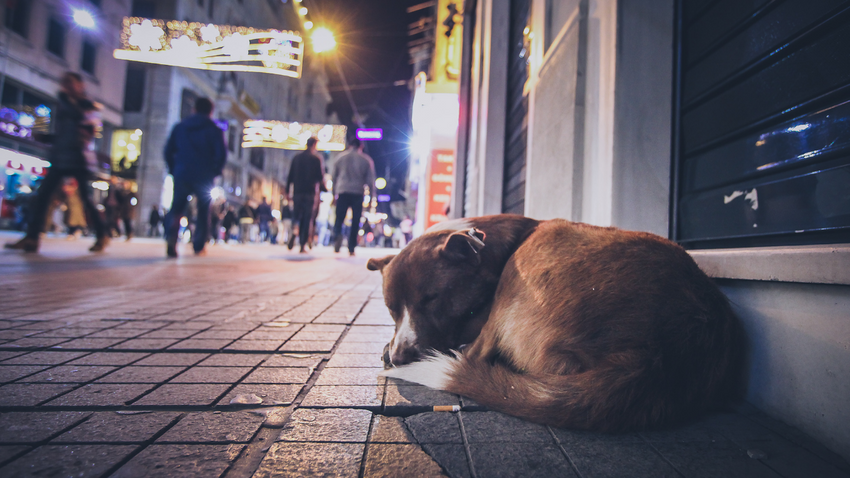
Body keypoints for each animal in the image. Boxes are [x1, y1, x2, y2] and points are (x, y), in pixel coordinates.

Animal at [364, 215, 744, 432]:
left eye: (432, 298)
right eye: (391, 309)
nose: (400, 357)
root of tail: (654, 358)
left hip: (536, 250)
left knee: (476, 354)